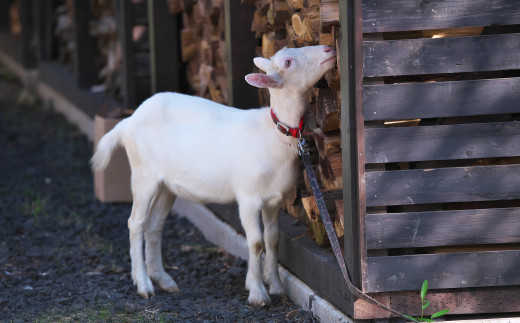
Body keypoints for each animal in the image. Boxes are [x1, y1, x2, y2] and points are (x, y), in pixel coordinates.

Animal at [92, 45, 338, 306]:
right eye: (288, 62)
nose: (328, 49)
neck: (273, 134)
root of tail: (128, 121)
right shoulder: (248, 197)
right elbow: (256, 242)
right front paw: (257, 293)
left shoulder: (274, 199)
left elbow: (272, 240)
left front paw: (276, 287)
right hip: (143, 174)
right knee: (136, 223)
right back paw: (143, 284)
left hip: (166, 184)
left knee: (154, 225)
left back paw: (164, 280)